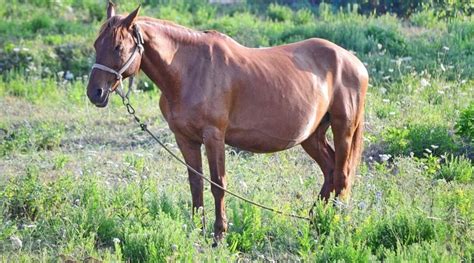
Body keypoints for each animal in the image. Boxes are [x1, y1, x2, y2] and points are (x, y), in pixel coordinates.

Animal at [88, 2, 370, 245]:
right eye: (96, 44)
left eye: (117, 47)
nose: (95, 93)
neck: (190, 70)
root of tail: (354, 62)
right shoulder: (185, 139)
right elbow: (196, 183)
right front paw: (196, 230)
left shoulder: (214, 136)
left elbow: (218, 183)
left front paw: (219, 234)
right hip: (312, 136)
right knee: (329, 170)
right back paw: (315, 221)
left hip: (343, 129)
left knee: (342, 176)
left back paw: (332, 226)